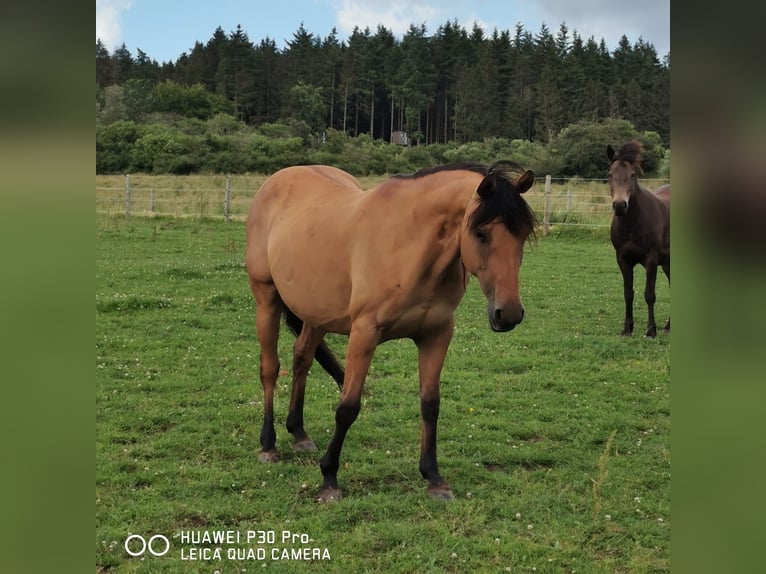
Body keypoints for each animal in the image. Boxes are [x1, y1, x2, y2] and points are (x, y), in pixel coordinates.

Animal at [246, 161, 537, 501]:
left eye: (523, 234)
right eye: (480, 233)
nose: (509, 314)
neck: (409, 245)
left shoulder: (437, 335)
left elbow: (430, 404)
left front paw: (434, 478)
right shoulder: (364, 333)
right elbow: (347, 407)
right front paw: (329, 478)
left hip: (316, 313)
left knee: (301, 359)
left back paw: (299, 433)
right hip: (266, 299)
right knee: (270, 368)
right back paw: (268, 445)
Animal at [607, 140, 670, 337]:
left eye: (633, 175)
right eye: (610, 175)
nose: (620, 205)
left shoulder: (651, 260)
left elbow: (649, 294)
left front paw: (651, 330)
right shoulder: (623, 260)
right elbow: (628, 293)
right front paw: (627, 328)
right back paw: (668, 326)